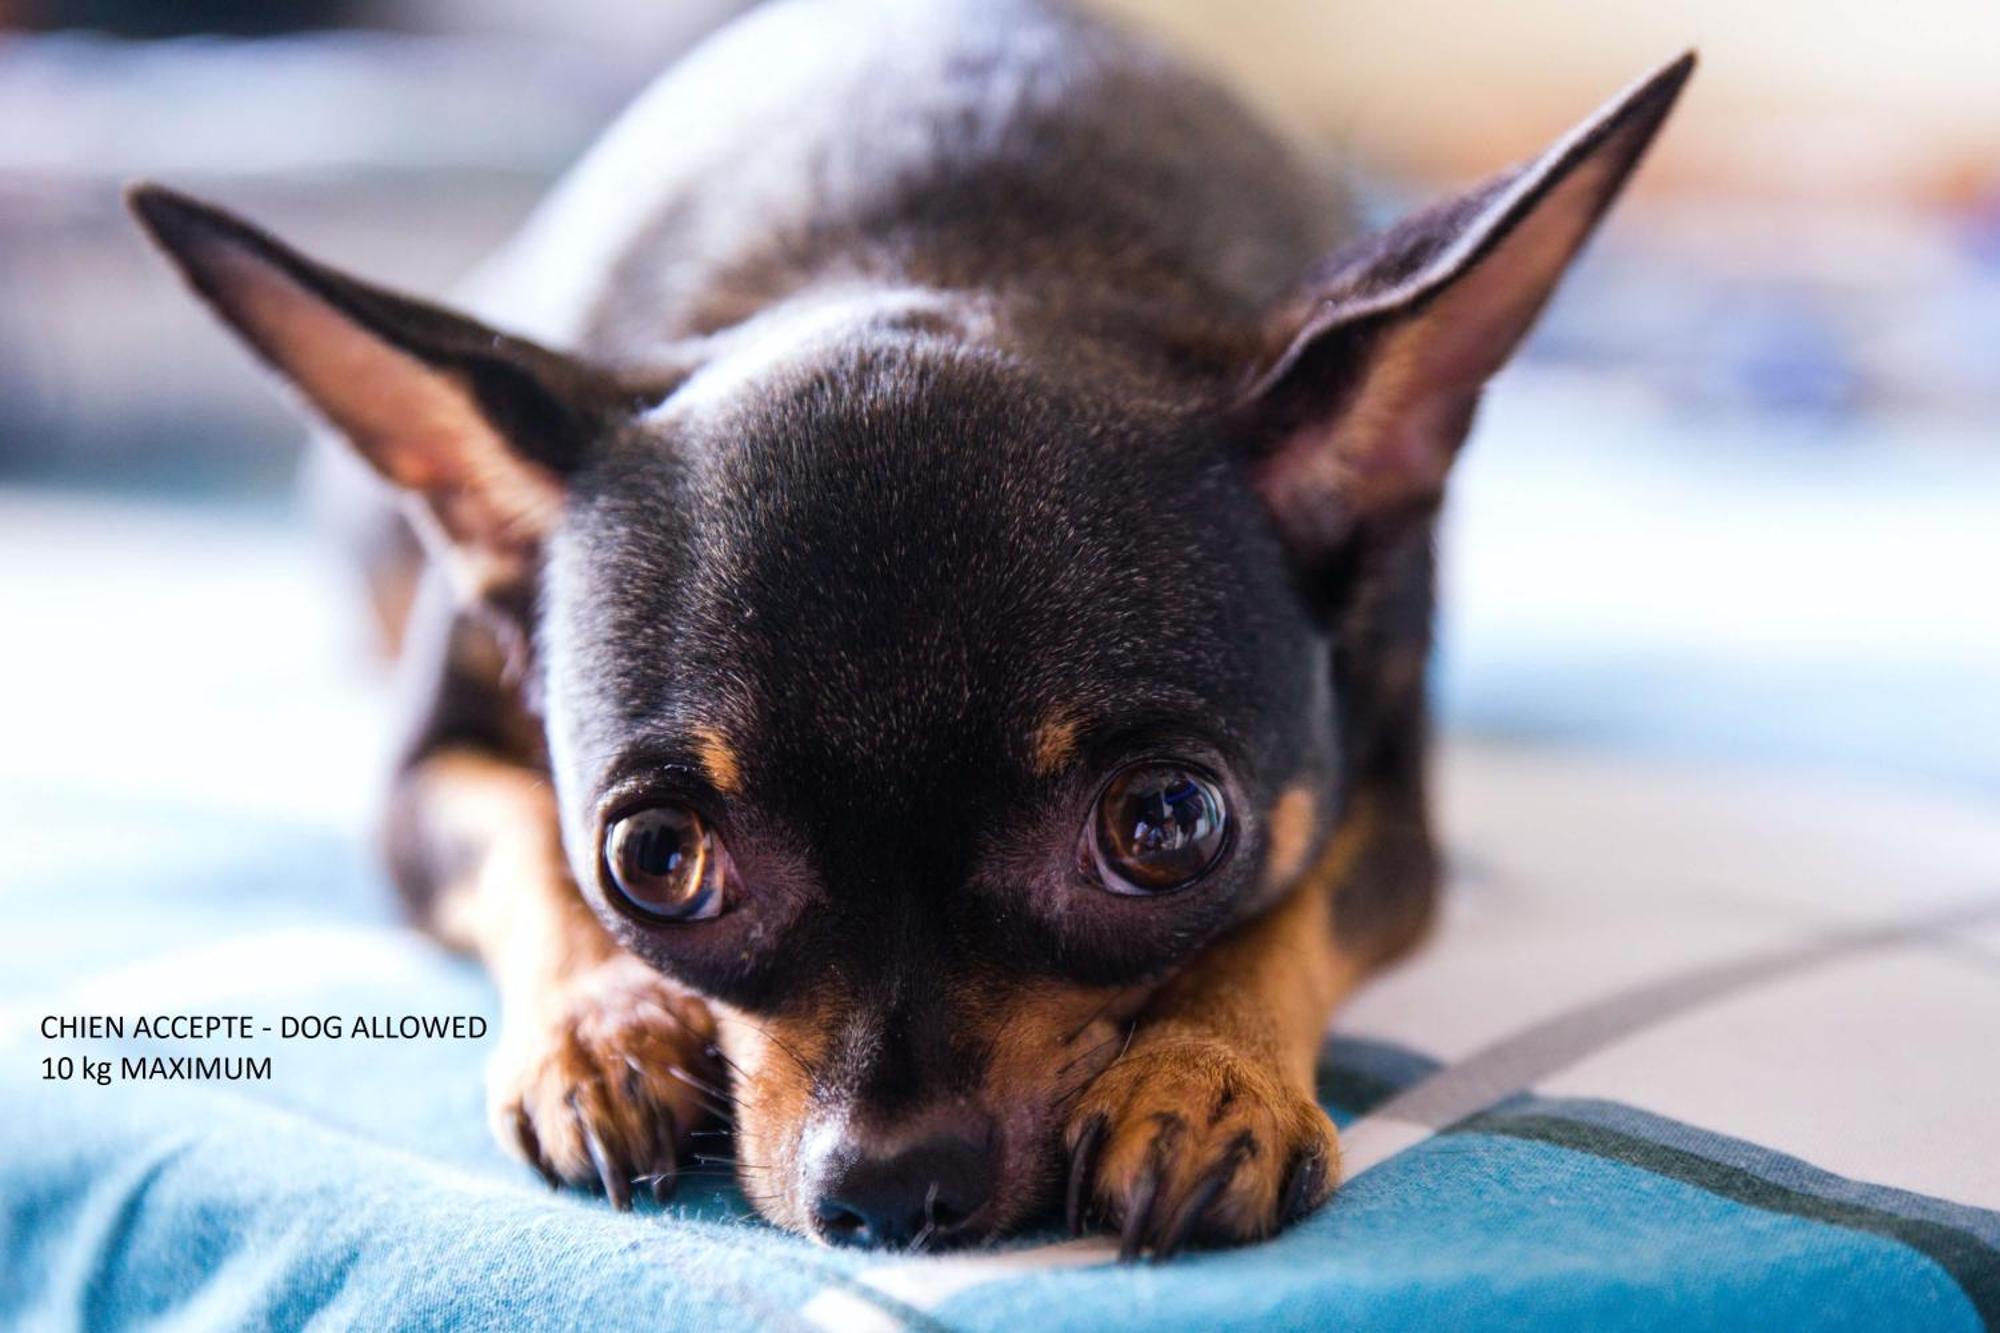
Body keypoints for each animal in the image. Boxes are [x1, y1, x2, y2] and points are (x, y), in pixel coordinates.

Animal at [125, 0, 1688, 1248]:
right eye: (654, 859)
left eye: (1166, 824)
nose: (884, 1188)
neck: (945, 247)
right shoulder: (422, 779)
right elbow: (521, 845)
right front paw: (600, 1029)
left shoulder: (1387, 800)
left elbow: (1285, 911)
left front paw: (1205, 1071)